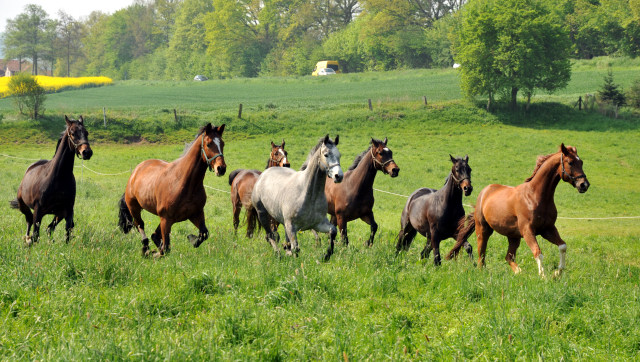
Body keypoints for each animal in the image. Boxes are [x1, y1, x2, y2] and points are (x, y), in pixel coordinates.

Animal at [10, 116, 93, 246]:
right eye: (73, 133)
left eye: (86, 133)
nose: (87, 152)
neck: (59, 177)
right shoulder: (38, 210)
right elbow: (35, 234)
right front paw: (31, 242)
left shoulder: (68, 209)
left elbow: (68, 231)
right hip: (24, 206)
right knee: (29, 221)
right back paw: (27, 239)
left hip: (59, 213)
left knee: (49, 228)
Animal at [119, 124, 226, 258]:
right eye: (209, 144)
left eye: (222, 143)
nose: (221, 168)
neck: (184, 183)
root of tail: (135, 171)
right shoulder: (166, 218)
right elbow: (165, 248)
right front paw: (156, 254)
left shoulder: (196, 214)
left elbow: (204, 234)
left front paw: (191, 238)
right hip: (135, 208)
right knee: (140, 225)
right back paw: (146, 249)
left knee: (155, 235)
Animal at [450, 144, 592, 278]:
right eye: (570, 162)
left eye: (581, 162)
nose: (584, 185)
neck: (535, 196)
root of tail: (484, 192)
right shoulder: (528, 231)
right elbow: (538, 252)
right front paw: (543, 277)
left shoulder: (548, 229)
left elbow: (562, 246)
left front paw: (557, 273)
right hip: (483, 230)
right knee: (482, 255)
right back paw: (484, 272)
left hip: (514, 237)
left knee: (508, 257)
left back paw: (519, 272)